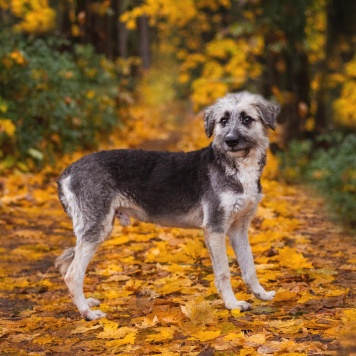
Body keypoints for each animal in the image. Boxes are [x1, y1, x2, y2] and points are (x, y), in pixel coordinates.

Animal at [55, 91, 280, 320]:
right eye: (223, 121)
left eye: (247, 119)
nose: (230, 141)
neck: (236, 167)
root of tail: (68, 171)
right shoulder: (215, 228)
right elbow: (224, 272)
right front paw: (232, 304)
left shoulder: (239, 229)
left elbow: (249, 265)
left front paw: (260, 294)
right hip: (97, 227)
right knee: (73, 274)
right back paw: (88, 313)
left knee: (68, 266)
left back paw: (86, 303)